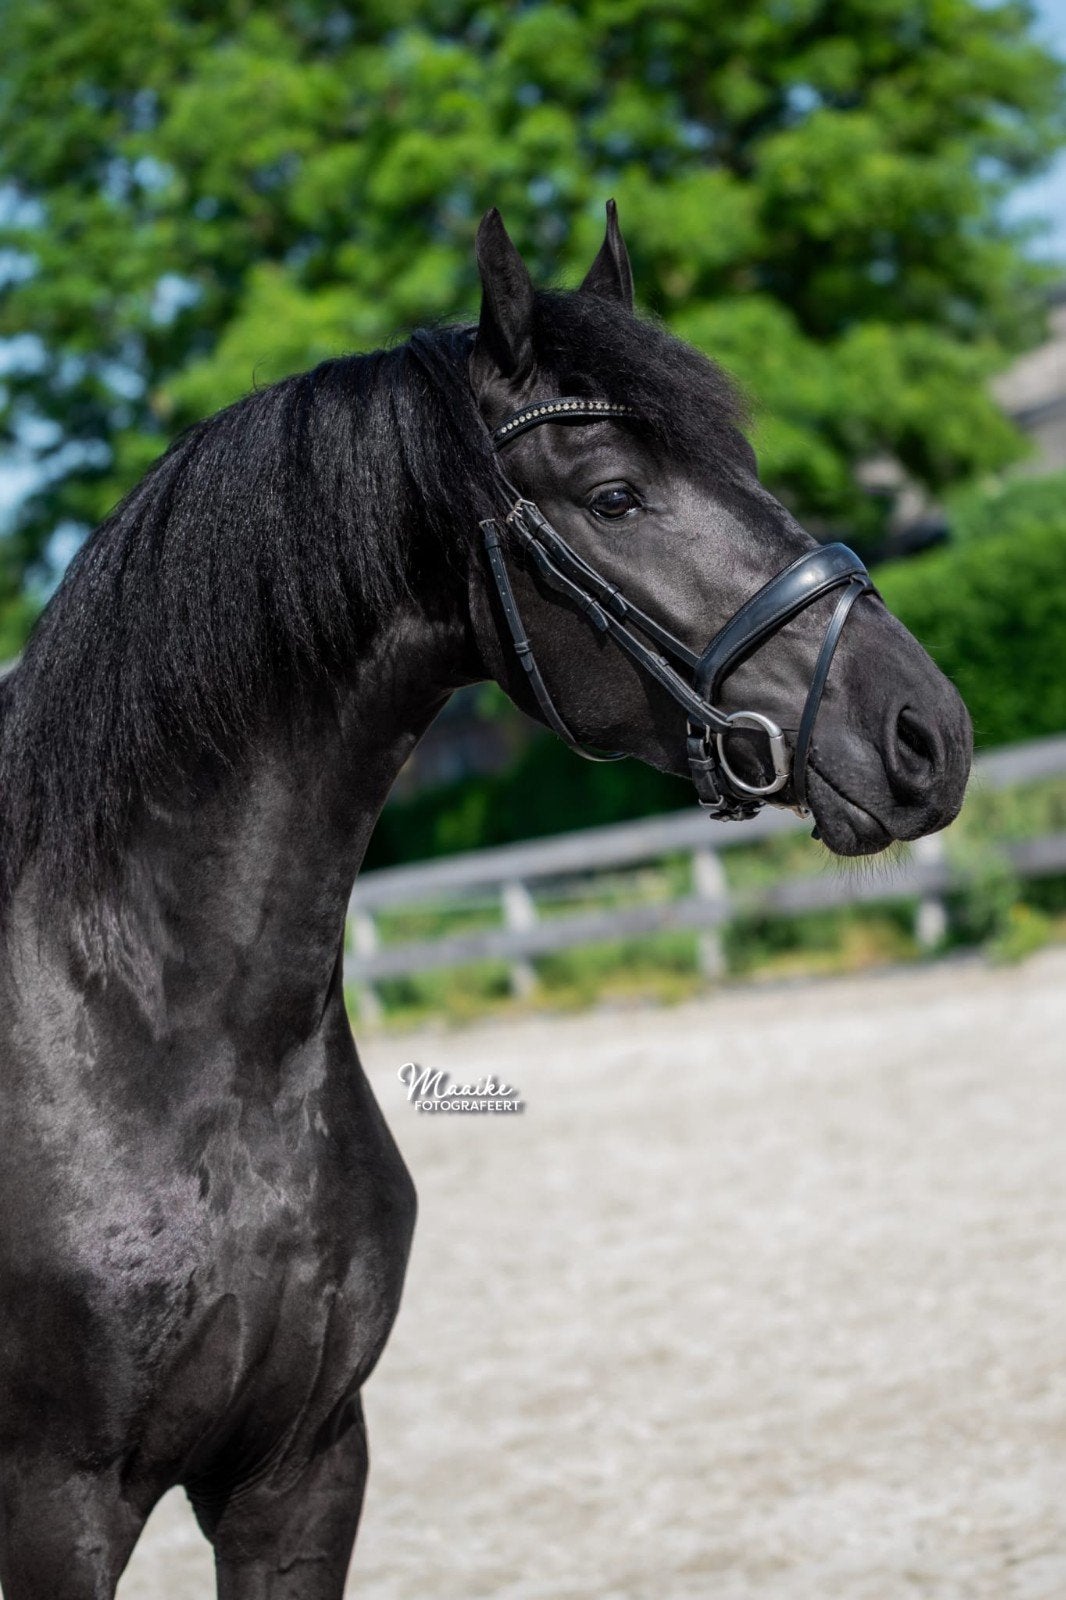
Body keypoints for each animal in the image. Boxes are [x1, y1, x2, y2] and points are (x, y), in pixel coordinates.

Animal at [0, 203, 971, 1598]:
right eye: (614, 495)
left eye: (746, 464)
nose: (926, 733)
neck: (146, 1034)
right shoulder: (56, 1504)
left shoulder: (301, 1470)